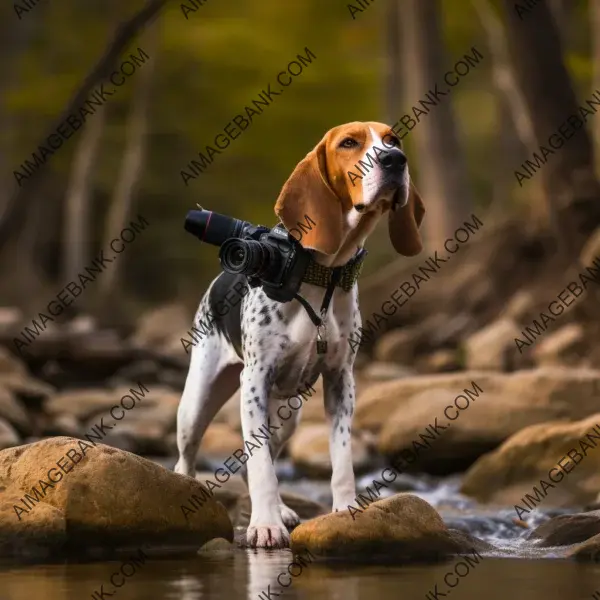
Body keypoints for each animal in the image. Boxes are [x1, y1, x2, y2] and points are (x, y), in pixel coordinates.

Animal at [173, 120, 426, 548]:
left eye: (394, 140)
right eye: (349, 143)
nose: (395, 160)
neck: (322, 274)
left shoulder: (341, 381)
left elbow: (341, 459)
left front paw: (345, 511)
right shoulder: (254, 382)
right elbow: (260, 466)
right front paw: (265, 525)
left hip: (286, 418)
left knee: (269, 455)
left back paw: (283, 508)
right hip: (196, 405)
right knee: (187, 459)